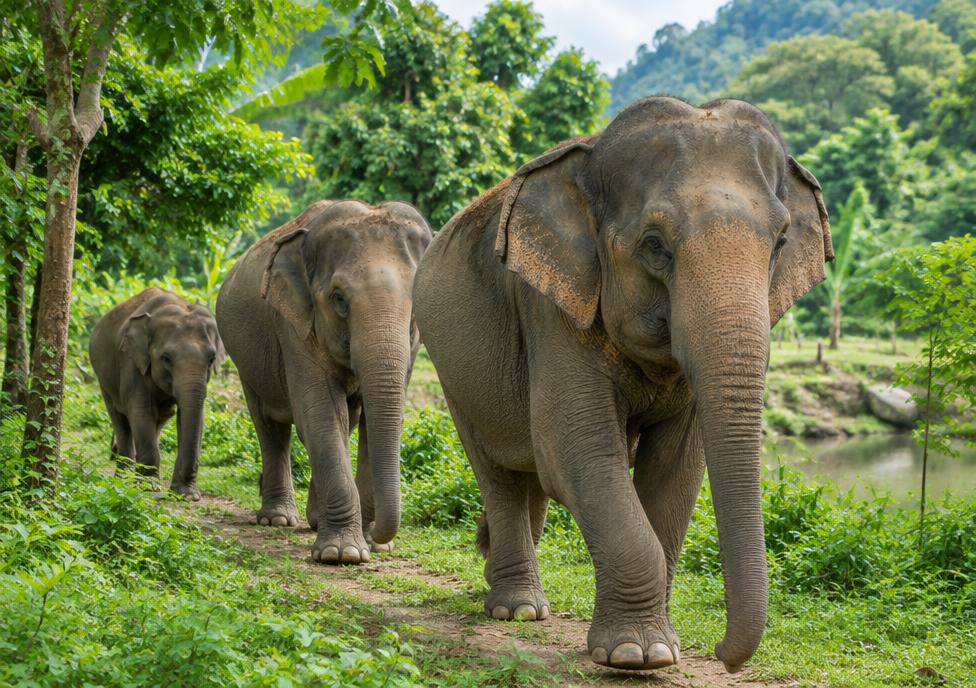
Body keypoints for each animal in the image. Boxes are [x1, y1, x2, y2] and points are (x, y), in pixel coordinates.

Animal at [89, 288, 224, 500]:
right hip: (104, 380)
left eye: (211, 359)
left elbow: (189, 416)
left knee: (160, 419)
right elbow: (141, 412)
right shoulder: (132, 363)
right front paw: (149, 488)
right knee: (120, 420)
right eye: (166, 358)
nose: (191, 495)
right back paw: (122, 480)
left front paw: (185, 494)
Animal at [216, 200, 432, 564]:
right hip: (246, 363)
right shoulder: (293, 325)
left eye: (416, 299)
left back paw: (315, 521)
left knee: (346, 423)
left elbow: (374, 421)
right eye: (339, 298)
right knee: (271, 427)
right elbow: (320, 414)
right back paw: (277, 519)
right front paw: (343, 554)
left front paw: (372, 545)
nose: (378, 535)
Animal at [413, 97, 833, 673]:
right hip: (449, 368)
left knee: (526, 476)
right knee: (499, 472)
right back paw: (517, 610)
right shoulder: (551, 308)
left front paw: (662, 649)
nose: (723, 655)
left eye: (781, 242)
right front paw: (638, 655)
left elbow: (676, 469)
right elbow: (577, 451)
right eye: (654, 245)